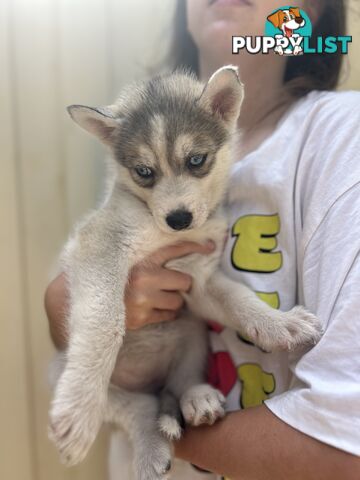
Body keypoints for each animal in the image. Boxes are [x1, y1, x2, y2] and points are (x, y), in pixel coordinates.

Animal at [48, 65, 320, 478]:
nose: (178, 218)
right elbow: (106, 321)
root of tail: (149, 382)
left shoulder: (198, 279)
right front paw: (78, 408)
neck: (163, 233)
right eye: (144, 171)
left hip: (192, 335)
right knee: (139, 407)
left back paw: (198, 400)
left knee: (177, 386)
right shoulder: (100, 246)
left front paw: (279, 323)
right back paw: (143, 443)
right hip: (62, 366)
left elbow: (238, 298)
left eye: (196, 160)